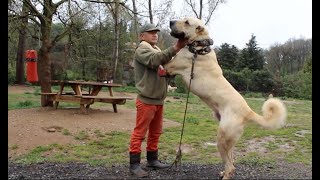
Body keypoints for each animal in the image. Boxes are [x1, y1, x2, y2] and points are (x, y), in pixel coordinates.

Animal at [165, 16, 288, 179]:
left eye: (186, 22)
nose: (170, 22)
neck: (199, 47)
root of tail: (248, 111)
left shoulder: (171, 66)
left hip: (222, 139)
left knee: (230, 165)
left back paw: (225, 175)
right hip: (229, 142)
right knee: (231, 161)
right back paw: (224, 172)